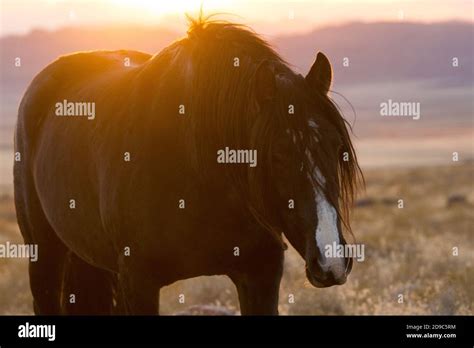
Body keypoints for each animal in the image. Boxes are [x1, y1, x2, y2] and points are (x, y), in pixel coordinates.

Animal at [14, 17, 362, 316]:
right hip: (44, 254)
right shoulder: (138, 282)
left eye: (338, 149)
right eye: (277, 155)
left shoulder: (260, 274)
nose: (330, 260)